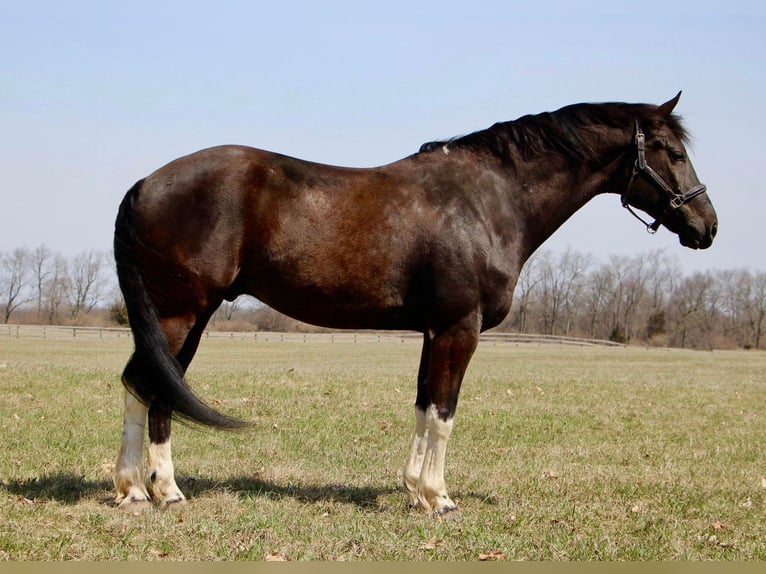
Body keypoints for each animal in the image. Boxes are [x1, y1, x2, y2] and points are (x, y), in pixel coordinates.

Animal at [112, 93, 720, 516]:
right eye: (674, 152)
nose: (707, 226)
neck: (488, 199)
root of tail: (146, 183)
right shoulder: (459, 328)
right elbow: (446, 413)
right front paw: (439, 498)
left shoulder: (434, 331)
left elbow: (425, 406)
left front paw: (413, 492)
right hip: (179, 314)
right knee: (149, 386)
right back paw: (160, 491)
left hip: (189, 317)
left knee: (148, 385)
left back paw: (138, 490)